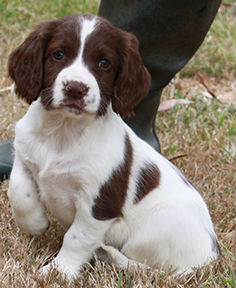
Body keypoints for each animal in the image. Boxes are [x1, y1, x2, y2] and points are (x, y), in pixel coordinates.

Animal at [7, 13, 221, 280]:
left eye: (104, 63)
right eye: (58, 54)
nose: (76, 88)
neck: (63, 131)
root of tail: (211, 258)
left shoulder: (100, 203)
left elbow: (76, 238)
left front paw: (59, 271)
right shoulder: (24, 153)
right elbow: (19, 191)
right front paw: (35, 224)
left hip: (155, 228)